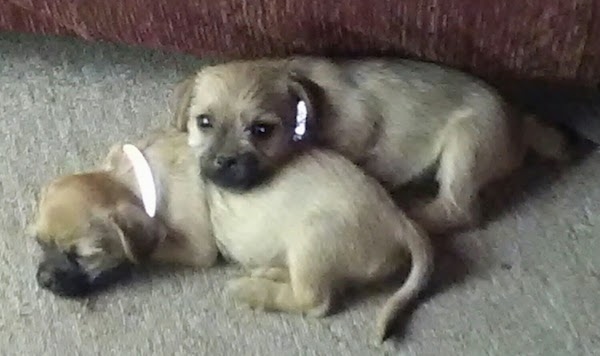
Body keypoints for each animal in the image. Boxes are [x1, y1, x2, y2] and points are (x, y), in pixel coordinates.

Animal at [30, 128, 434, 342]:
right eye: (39, 242)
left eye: (82, 256)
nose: (43, 281)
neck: (133, 181)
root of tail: (399, 222)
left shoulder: (194, 247)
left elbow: (149, 250)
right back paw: (268, 272)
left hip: (313, 237)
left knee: (315, 301)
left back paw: (251, 290)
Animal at [172, 57, 568, 234]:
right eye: (203, 122)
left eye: (261, 130)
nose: (225, 163)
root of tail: (521, 122)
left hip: (465, 144)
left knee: (458, 210)